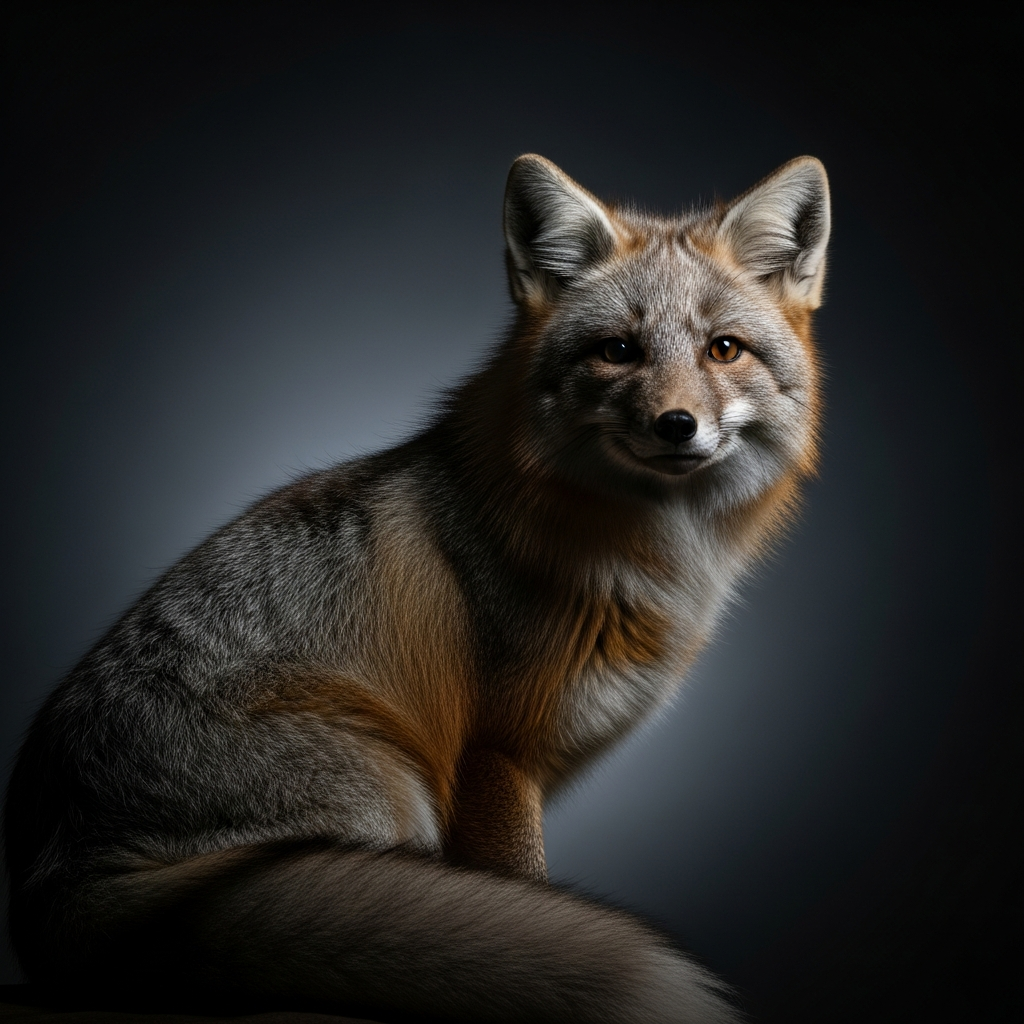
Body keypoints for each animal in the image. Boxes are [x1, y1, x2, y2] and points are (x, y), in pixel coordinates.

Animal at [4, 153, 829, 1023]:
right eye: (617, 350)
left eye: (724, 349)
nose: (676, 425)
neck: (635, 554)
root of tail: (49, 889)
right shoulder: (494, 757)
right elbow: (522, 892)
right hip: (387, 793)